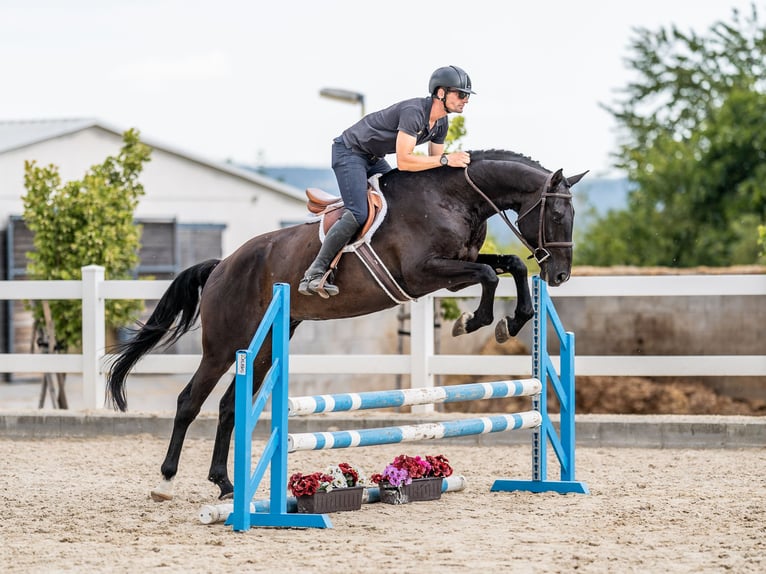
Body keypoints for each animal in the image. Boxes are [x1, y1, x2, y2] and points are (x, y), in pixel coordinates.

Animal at [108, 151, 584, 502]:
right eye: (558, 216)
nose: (561, 275)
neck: (454, 197)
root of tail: (223, 263)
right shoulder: (425, 273)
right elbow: (489, 275)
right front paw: (475, 321)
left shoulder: (458, 266)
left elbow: (511, 265)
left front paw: (514, 320)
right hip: (224, 345)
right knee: (190, 400)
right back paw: (166, 481)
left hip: (266, 344)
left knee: (228, 406)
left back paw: (225, 485)